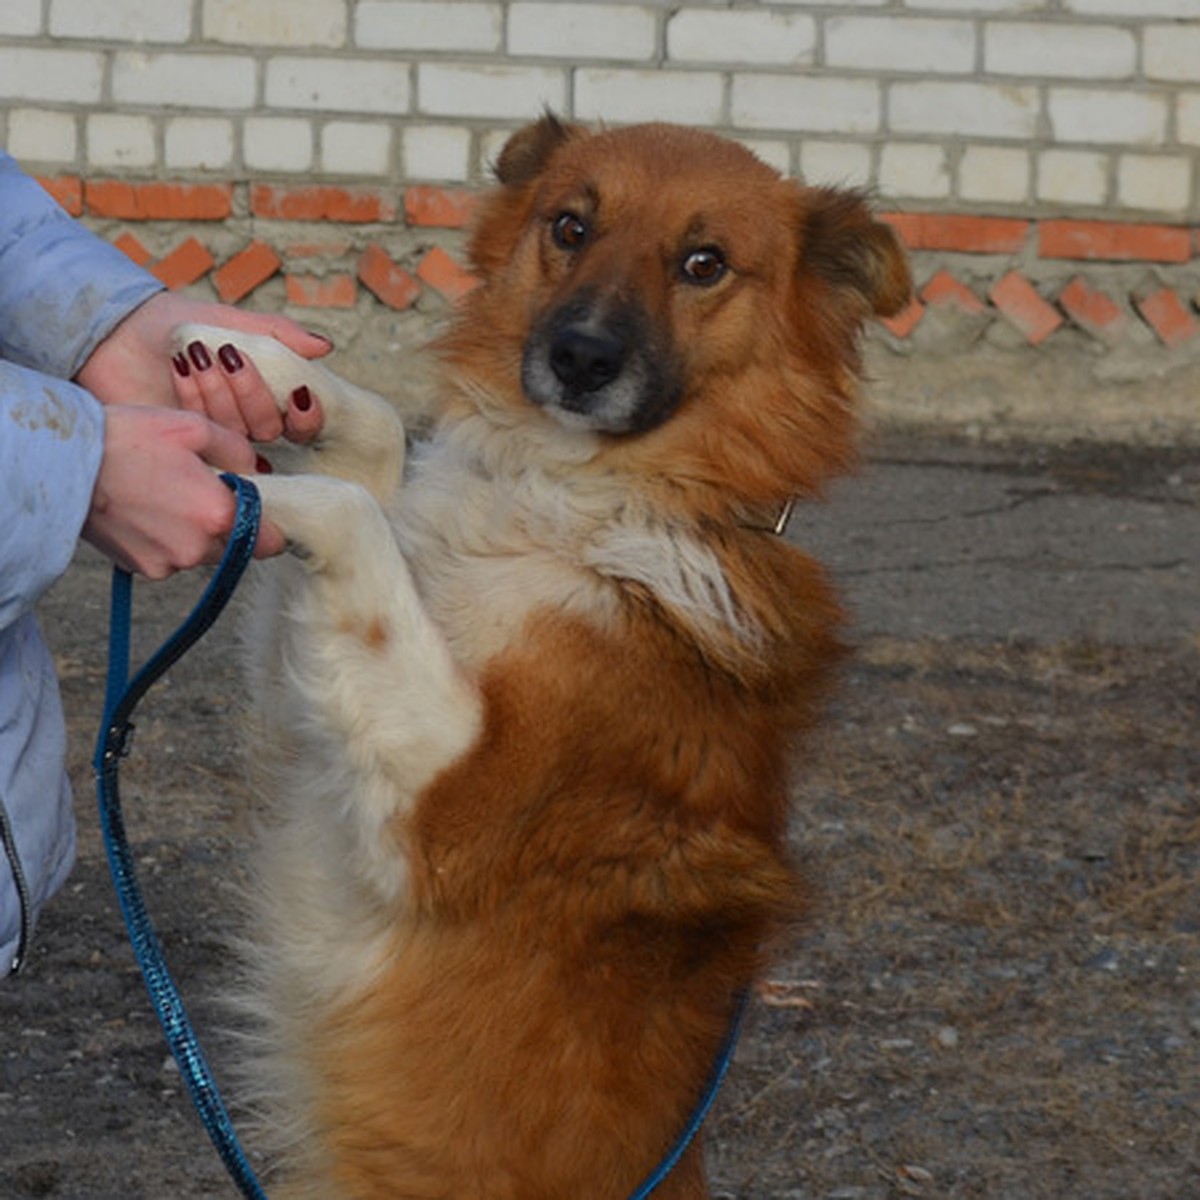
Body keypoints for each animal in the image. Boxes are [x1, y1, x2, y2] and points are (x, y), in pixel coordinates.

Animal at [175, 114, 907, 1200]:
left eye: (704, 263)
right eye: (570, 225)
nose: (580, 357)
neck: (571, 497)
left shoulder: (447, 811)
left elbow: (355, 517)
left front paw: (234, 474)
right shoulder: (301, 727)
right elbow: (382, 454)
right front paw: (257, 367)